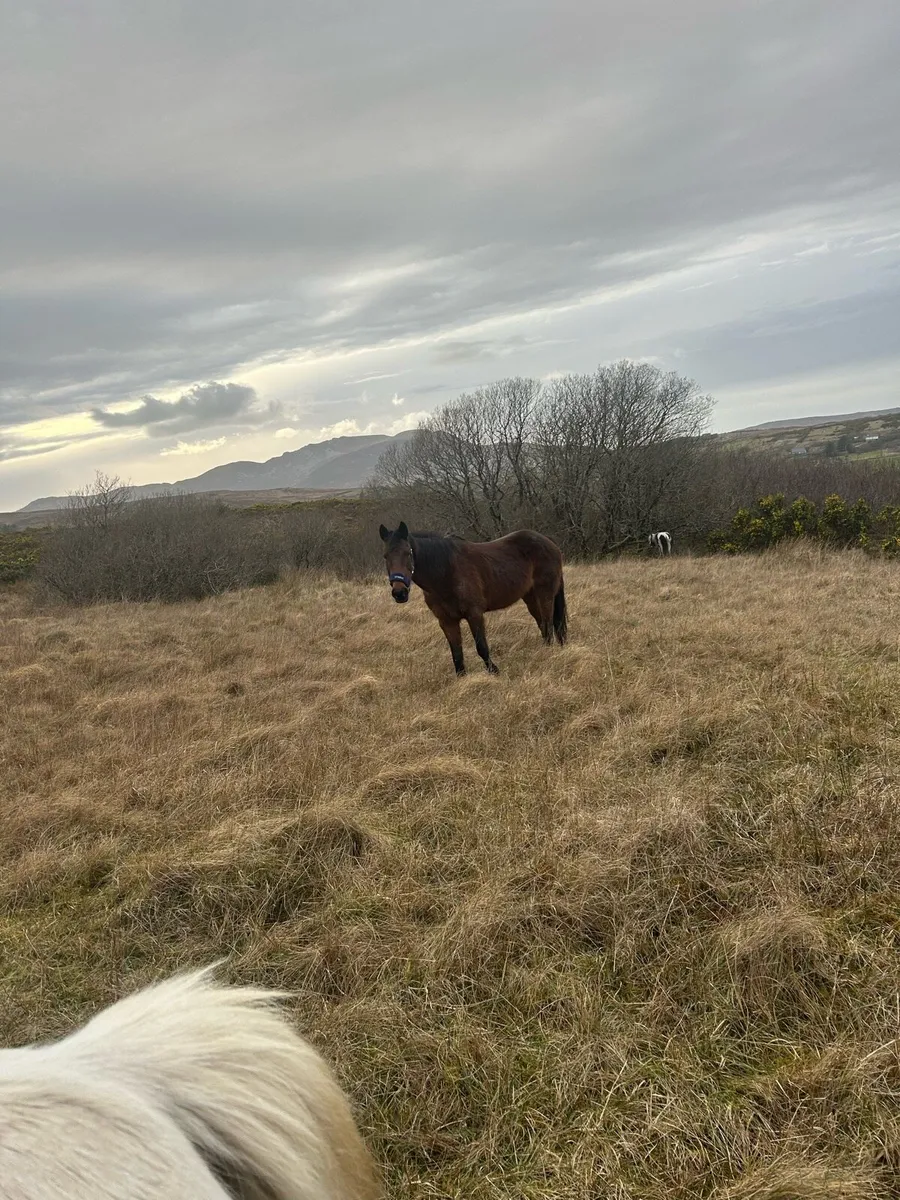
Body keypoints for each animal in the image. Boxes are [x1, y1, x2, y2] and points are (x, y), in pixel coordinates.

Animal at [379, 522, 567, 676]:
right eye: (385, 556)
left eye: (407, 553)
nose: (399, 593)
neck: (446, 573)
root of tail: (549, 542)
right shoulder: (447, 621)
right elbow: (456, 653)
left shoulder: (474, 614)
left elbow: (481, 647)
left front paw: (494, 672)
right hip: (530, 598)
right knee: (543, 625)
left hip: (545, 595)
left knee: (548, 624)